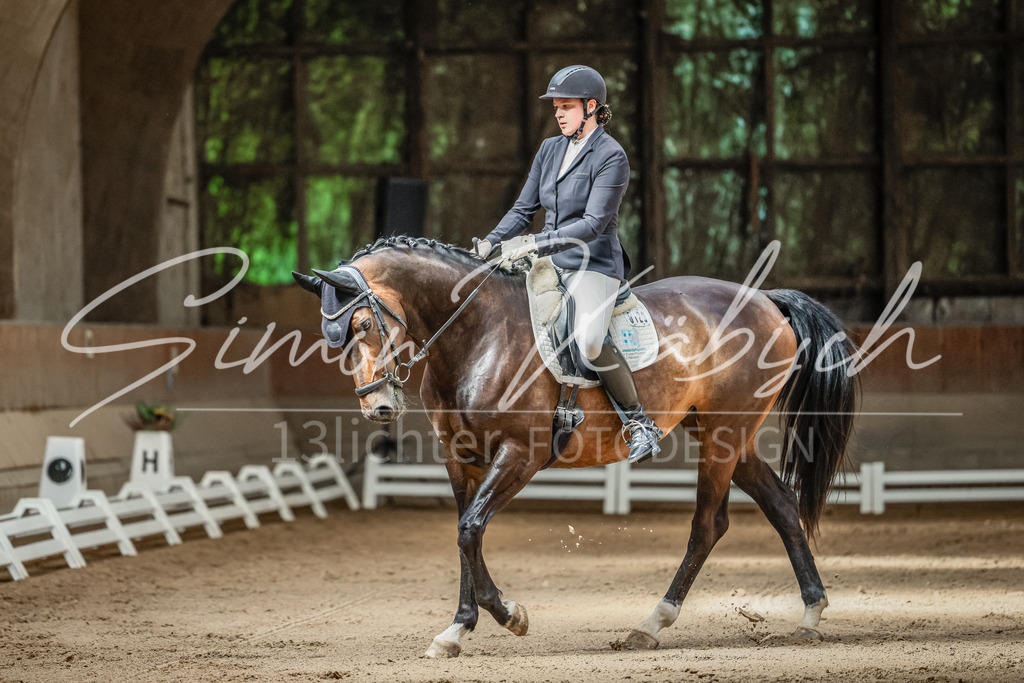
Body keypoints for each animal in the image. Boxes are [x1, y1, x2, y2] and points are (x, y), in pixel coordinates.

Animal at [293, 235, 857, 658]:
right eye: (332, 337)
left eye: (364, 323)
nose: (378, 407)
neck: (478, 335)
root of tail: (765, 300)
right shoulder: (460, 458)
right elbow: (463, 535)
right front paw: (457, 630)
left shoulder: (520, 454)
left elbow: (471, 528)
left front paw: (510, 616)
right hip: (725, 435)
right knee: (781, 504)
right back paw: (810, 614)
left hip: (723, 437)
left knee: (708, 525)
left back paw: (651, 624)